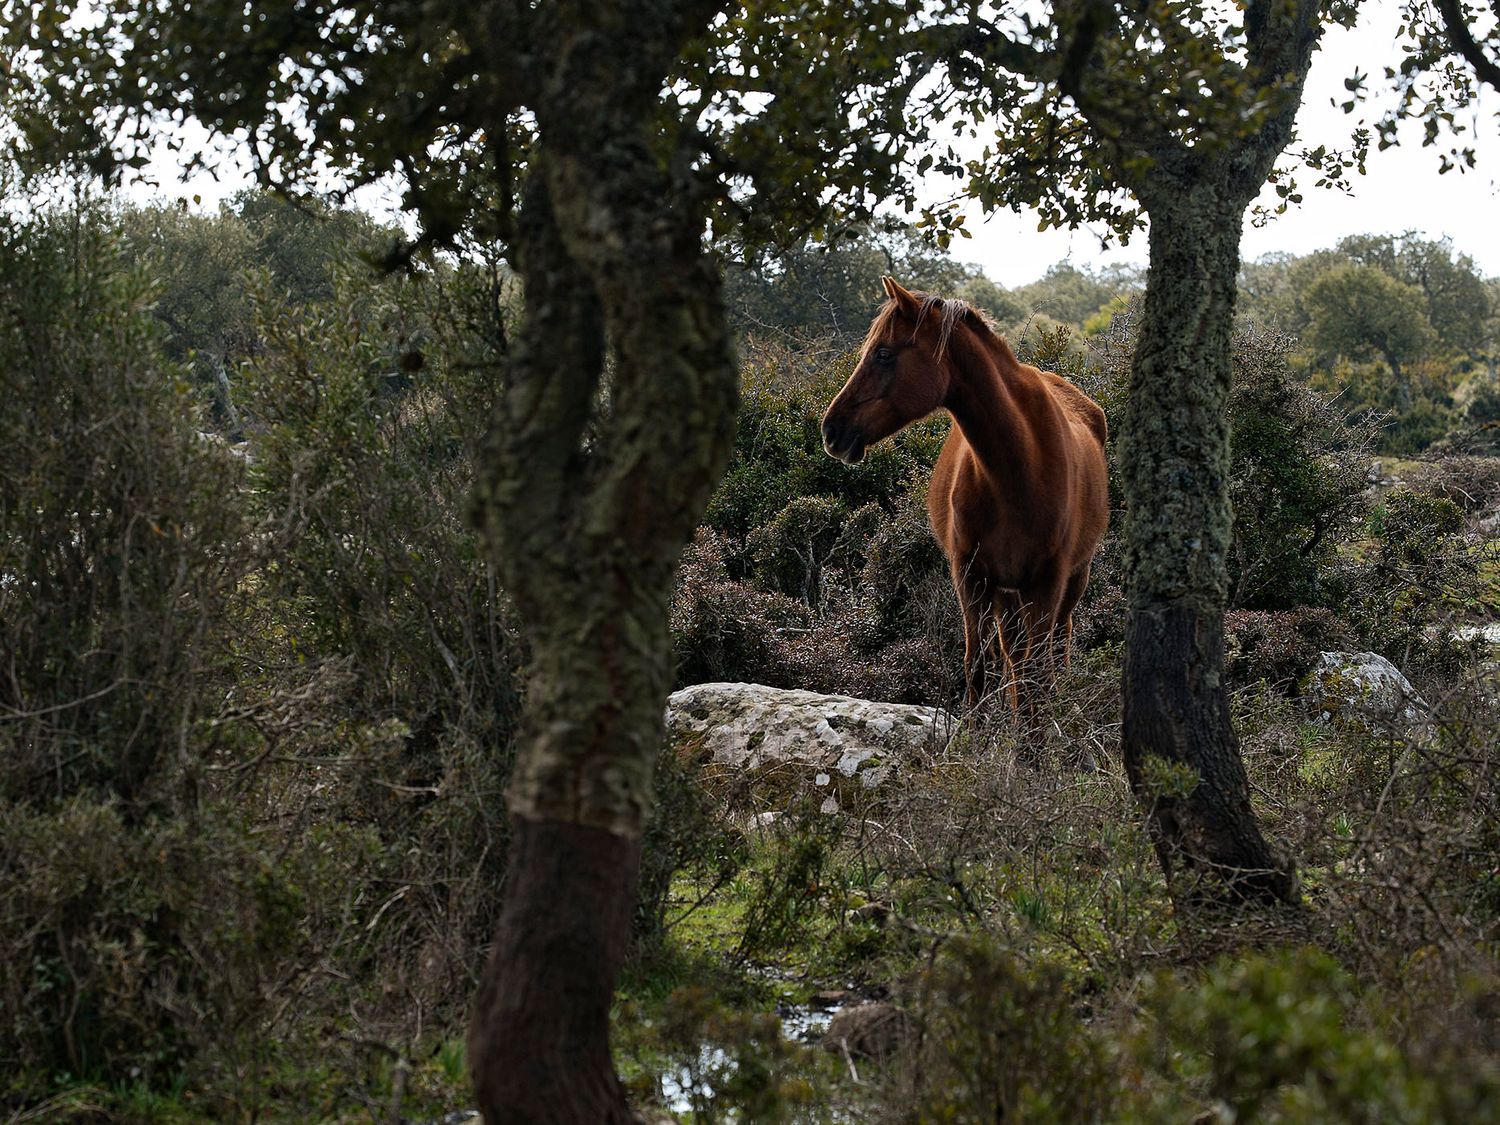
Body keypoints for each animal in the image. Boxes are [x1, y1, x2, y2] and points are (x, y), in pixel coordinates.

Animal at [821, 276, 1109, 714]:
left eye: (883, 354)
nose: (831, 429)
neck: (1018, 468)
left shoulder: (1047, 582)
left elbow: (1037, 674)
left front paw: (1037, 735)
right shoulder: (972, 578)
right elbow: (978, 666)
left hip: (1071, 581)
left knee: (1051, 654)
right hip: (1007, 595)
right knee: (1011, 659)